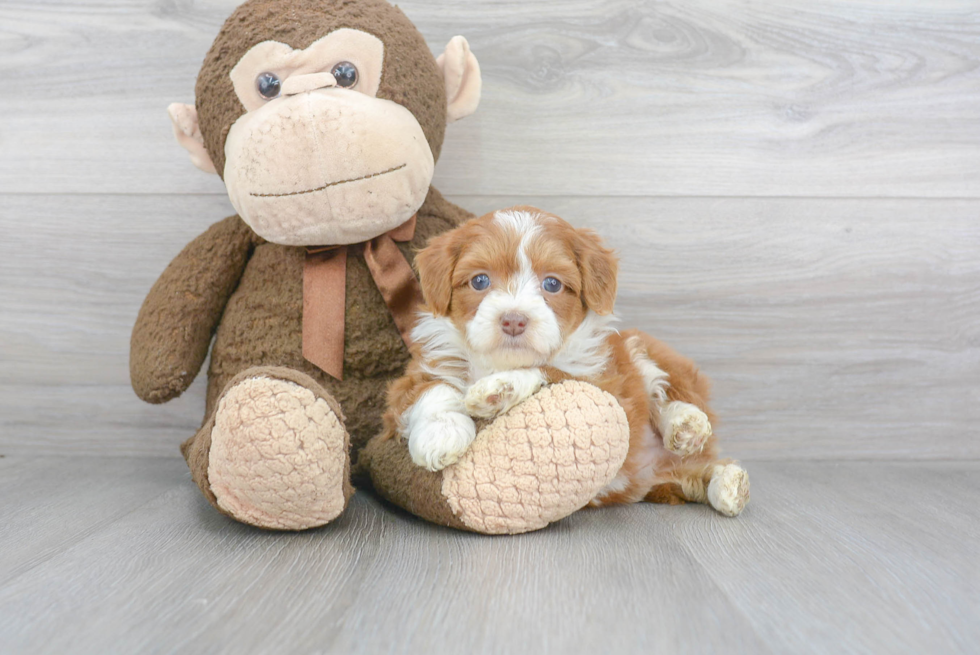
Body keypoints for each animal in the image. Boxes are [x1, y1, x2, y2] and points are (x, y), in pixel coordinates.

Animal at [382, 206, 752, 516]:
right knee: (699, 476)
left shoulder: (607, 387)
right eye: (480, 281)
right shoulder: (414, 375)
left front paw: (498, 389)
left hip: (641, 346)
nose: (513, 320)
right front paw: (441, 434)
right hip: (669, 480)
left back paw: (689, 427)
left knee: (666, 392)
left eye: (552, 284)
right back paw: (726, 485)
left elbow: (551, 369)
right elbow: (434, 388)